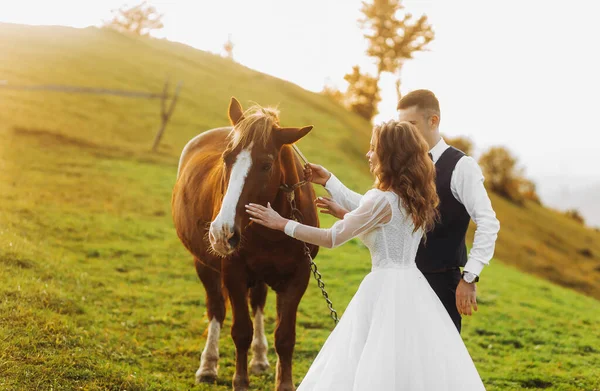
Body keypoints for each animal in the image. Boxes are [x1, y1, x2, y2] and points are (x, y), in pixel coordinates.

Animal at [171, 98, 318, 391]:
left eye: (266, 165)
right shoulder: (234, 274)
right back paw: (208, 365)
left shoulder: (298, 278)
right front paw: (240, 381)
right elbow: (240, 331)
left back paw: (260, 359)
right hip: (205, 266)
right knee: (216, 309)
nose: (222, 232)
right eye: (226, 158)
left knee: (258, 304)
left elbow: (285, 337)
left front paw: (283, 381)